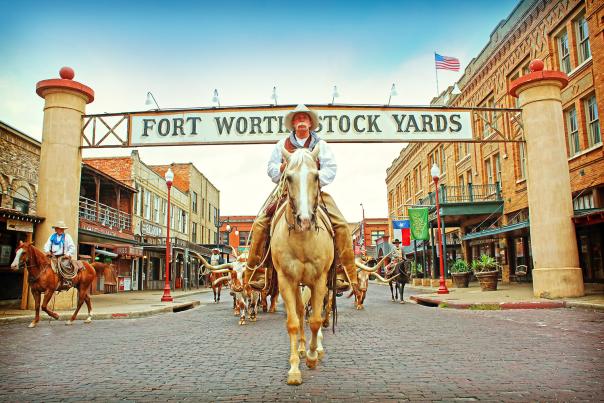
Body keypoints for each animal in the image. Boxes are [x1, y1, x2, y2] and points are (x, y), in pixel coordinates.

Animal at [272, 144, 338, 386]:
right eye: (288, 177)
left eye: (316, 176)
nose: (305, 220)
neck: (302, 239)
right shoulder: (286, 280)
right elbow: (293, 321)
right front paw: (294, 369)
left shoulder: (319, 280)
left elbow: (316, 320)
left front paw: (311, 356)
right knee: (301, 311)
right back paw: (301, 347)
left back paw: (315, 348)